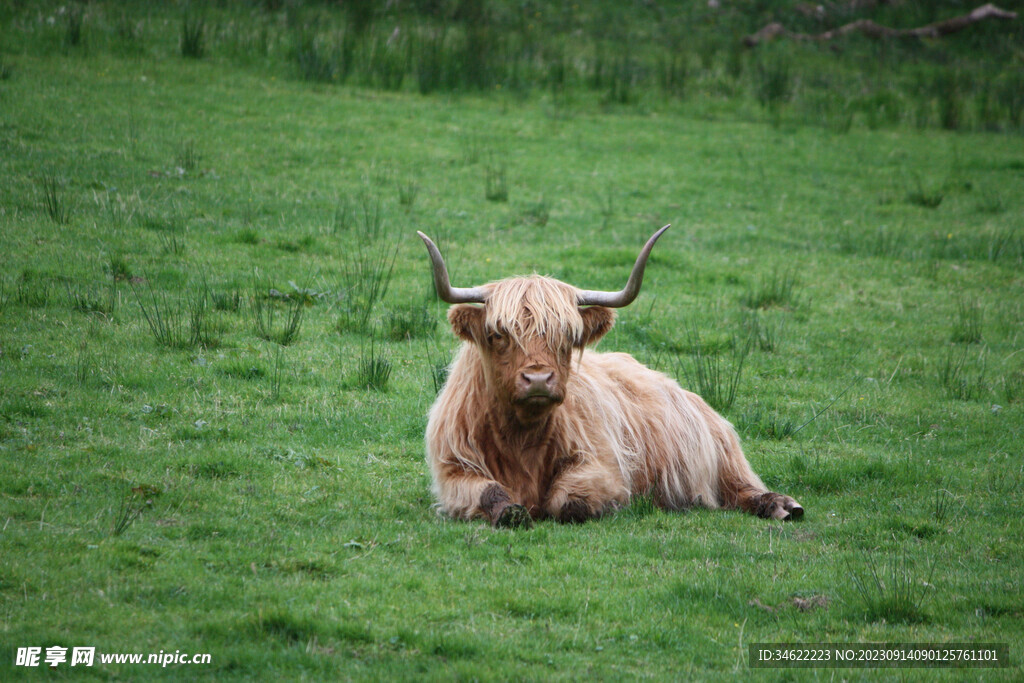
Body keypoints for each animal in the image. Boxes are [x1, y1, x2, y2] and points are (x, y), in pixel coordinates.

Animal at [415, 225, 798, 528]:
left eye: (568, 336)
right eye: (498, 334)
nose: (538, 380)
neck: (522, 437)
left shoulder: (604, 466)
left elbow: (567, 502)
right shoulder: (454, 470)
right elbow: (492, 494)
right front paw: (514, 512)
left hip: (722, 454)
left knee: (742, 486)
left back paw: (782, 505)